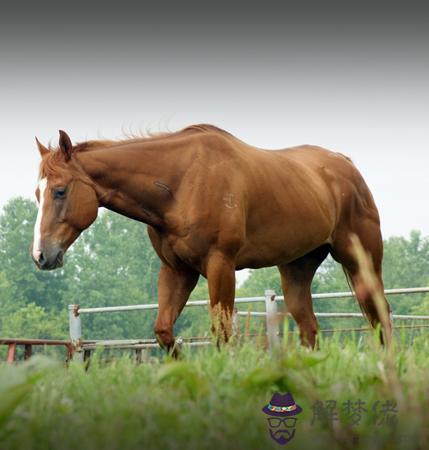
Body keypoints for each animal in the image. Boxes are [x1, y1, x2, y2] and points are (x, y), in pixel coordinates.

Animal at [30, 124, 392, 352]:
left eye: (60, 191)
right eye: (37, 194)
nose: (40, 255)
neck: (181, 183)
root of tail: (346, 166)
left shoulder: (220, 265)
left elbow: (221, 334)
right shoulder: (177, 271)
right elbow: (164, 332)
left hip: (361, 262)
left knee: (381, 317)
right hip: (296, 271)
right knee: (310, 329)